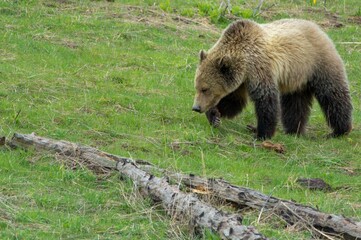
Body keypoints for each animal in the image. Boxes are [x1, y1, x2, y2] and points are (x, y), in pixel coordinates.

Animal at [191, 18, 352, 139]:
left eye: (205, 89)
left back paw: (339, 130)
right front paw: (214, 115)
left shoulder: (259, 70)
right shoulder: (241, 82)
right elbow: (234, 102)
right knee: (295, 103)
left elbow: (266, 100)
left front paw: (262, 134)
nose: (196, 107)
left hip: (318, 64)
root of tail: (318, 28)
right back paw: (294, 130)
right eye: (197, 87)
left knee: (333, 95)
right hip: (296, 78)